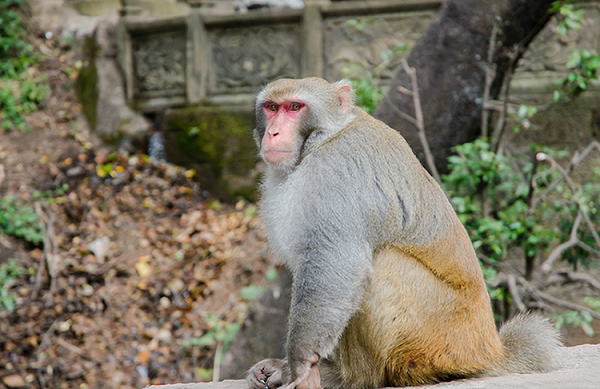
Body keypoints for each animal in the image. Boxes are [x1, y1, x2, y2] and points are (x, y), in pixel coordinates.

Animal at [246, 77, 564, 388]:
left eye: (295, 107)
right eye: (272, 107)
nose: (273, 132)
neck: (325, 136)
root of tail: (492, 352)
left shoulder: (335, 170)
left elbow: (334, 262)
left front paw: (298, 364)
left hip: (440, 338)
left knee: (381, 264)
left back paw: (353, 378)